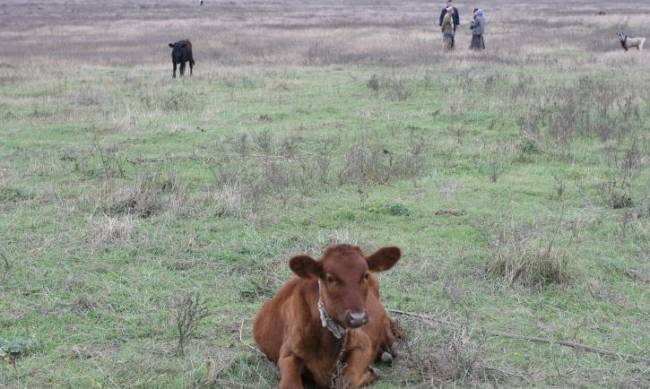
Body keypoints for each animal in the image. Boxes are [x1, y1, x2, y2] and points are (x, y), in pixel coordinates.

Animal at [253, 244, 400, 386]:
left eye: (365, 275)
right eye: (330, 278)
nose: (357, 318)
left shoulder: (363, 344)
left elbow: (347, 380)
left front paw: (371, 374)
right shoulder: (288, 354)